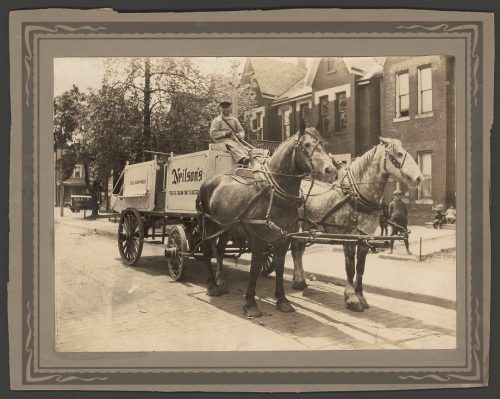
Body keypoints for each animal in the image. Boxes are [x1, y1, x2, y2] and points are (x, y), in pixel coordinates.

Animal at [196, 128, 336, 318]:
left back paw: (222, 282)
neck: (276, 193)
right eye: (306, 145)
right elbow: (254, 267)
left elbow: (279, 266)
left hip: (227, 227)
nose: (331, 170)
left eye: (322, 144)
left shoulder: (283, 238)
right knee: (207, 250)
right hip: (209, 224)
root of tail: (208, 181)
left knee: (219, 250)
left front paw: (282, 300)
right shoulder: (257, 238)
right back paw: (212, 286)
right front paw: (250, 303)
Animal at [292, 138, 424, 312]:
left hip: (308, 228)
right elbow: (350, 267)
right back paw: (298, 280)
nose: (419, 178)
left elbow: (360, 267)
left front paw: (360, 296)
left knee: (300, 248)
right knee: (295, 249)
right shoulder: (349, 238)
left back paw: (302, 278)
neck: (357, 195)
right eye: (399, 154)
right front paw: (351, 298)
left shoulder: (364, 238)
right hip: (296, 226)